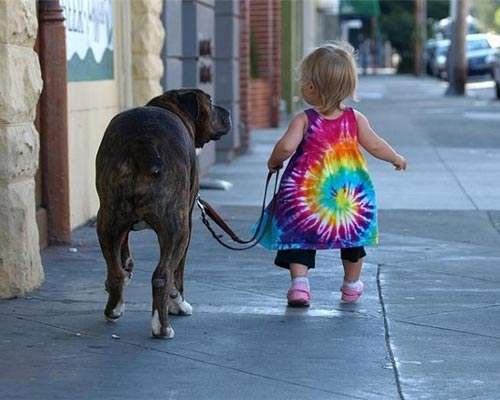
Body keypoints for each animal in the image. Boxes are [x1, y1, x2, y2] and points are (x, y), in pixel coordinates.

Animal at [94, 88, 231, 338]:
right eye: (210, 101)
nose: (227, 112)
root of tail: (142, 144)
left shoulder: (119, 225)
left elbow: (123, 253)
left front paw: (127, 268)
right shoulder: (186, 223)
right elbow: (178, 272)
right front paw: (178, 303)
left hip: (107, 218)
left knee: (114, 271)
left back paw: (114, 308)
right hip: (176, 229)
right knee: (162, 275)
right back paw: (162, 326)